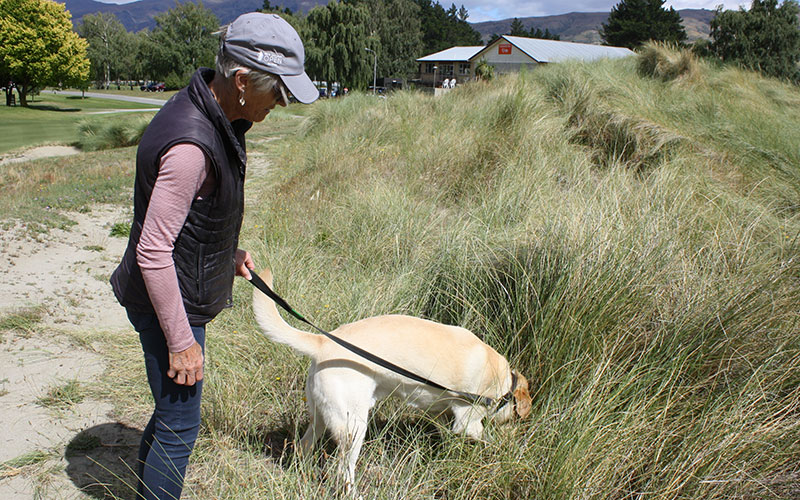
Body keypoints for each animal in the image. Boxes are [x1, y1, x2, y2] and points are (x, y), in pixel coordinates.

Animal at [253, 270, 532, 488]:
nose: (516, 429)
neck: (501, 381)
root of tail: (322, 341)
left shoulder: (439, 413)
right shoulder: (468, 421)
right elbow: (482, 435)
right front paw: (502, 448)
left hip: (320, 418)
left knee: (304, 446)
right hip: (354, 427)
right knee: (343, 470)